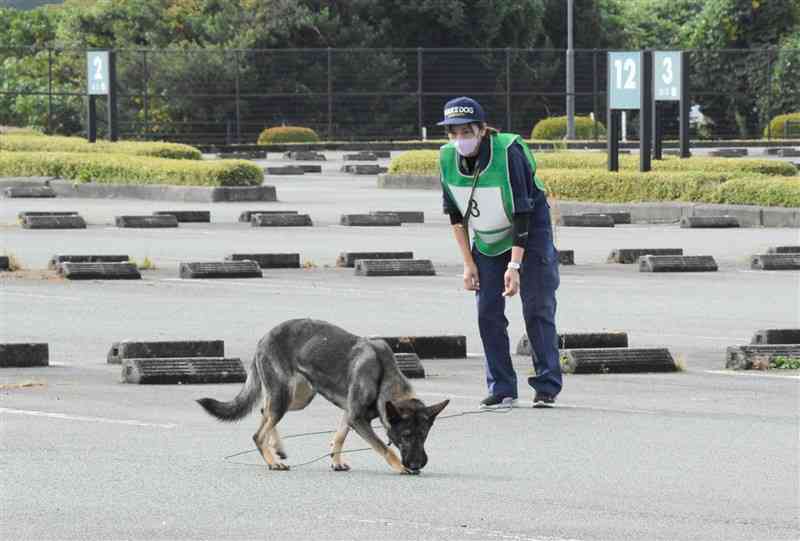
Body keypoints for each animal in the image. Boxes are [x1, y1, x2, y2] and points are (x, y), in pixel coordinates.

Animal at [198, 318, 450, 474]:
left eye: (424, 435)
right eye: (406, 435)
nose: (418, 464)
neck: (384, 373)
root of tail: (264, 338)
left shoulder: (350, 414)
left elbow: (339, 437)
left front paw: (336, 461)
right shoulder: (357, 418)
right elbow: (384, 447)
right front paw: (399, 466)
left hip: (298, 397)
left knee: (264, 411)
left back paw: (277, 448)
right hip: (284, 396)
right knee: (258, 433)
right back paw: (272, 461)